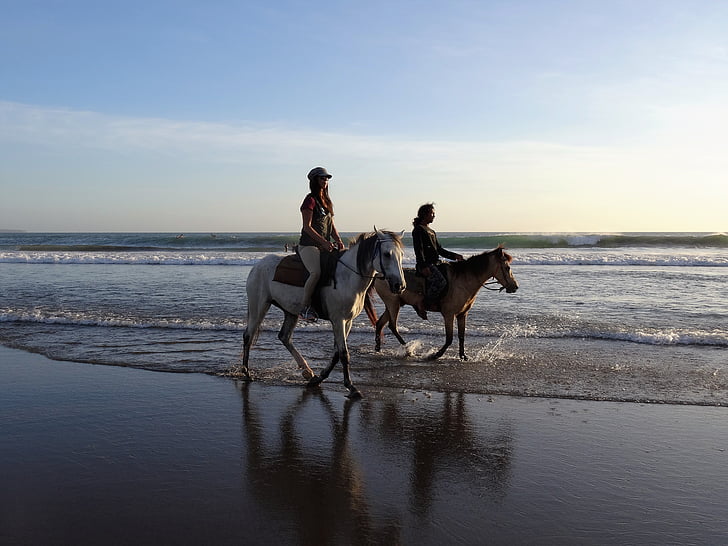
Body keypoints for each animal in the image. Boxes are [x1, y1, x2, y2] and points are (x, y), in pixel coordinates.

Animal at [242, 227, 406, 398]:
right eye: (387, 254)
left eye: (401, 254)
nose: (399, 285)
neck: (348, 277)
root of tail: (257, 266)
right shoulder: (338, 320)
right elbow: (343, 353)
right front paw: (351, 386)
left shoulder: (348, 321)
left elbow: (336, 353)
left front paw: (320, 378)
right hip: (259, 306)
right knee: (248, 335)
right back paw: (246, 372)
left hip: (290, 311)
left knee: (284, 337)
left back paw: (307, 371)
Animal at [370, 245, 516, 356]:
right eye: (507, 267)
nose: (515, 286)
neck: (463, 281)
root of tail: (379, 275)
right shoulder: (449, 314)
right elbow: (449, 338)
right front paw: (436, 355)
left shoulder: (462, 314)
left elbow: (461, 336)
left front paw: (463, 356)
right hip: (393, 304)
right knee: (392, 326)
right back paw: (408, 349)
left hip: (393, 304)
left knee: (380, 323)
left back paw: (378, 349)